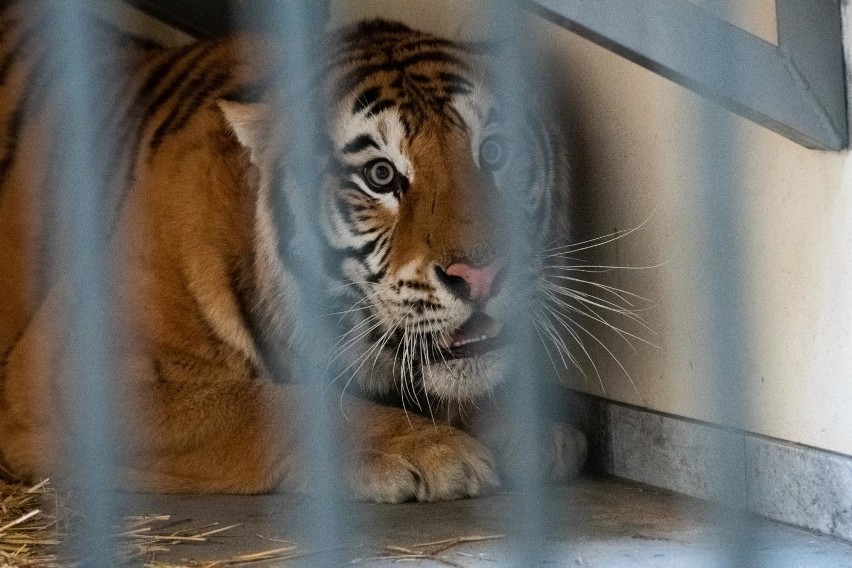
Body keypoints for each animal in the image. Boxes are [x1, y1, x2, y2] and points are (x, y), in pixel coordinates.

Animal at [0, 2, 584, 504]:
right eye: (380, 175)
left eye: (496, 153)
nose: (481, 274)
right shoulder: (66, 370)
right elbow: (268, 403)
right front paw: (433, 450)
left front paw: (538, 432)